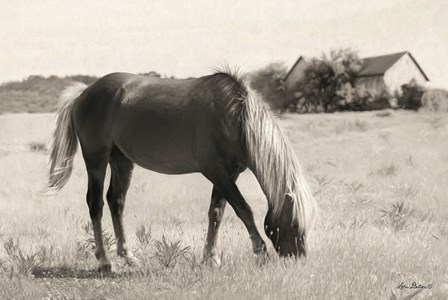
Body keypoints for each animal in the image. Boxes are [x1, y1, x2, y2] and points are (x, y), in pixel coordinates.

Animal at [44, 71, 318, 272]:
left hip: (121, 160)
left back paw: (128, 256)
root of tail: (83, 93)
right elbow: (244, 210)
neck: (236, 117)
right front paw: (260, 251)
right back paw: (104, 260)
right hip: (96, 159)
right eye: (295, 222)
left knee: (116, 201)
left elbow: (216, 212)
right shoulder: (216, 171)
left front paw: (211, 257)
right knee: (96, 204)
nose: (299, 258)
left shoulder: (228, 174)